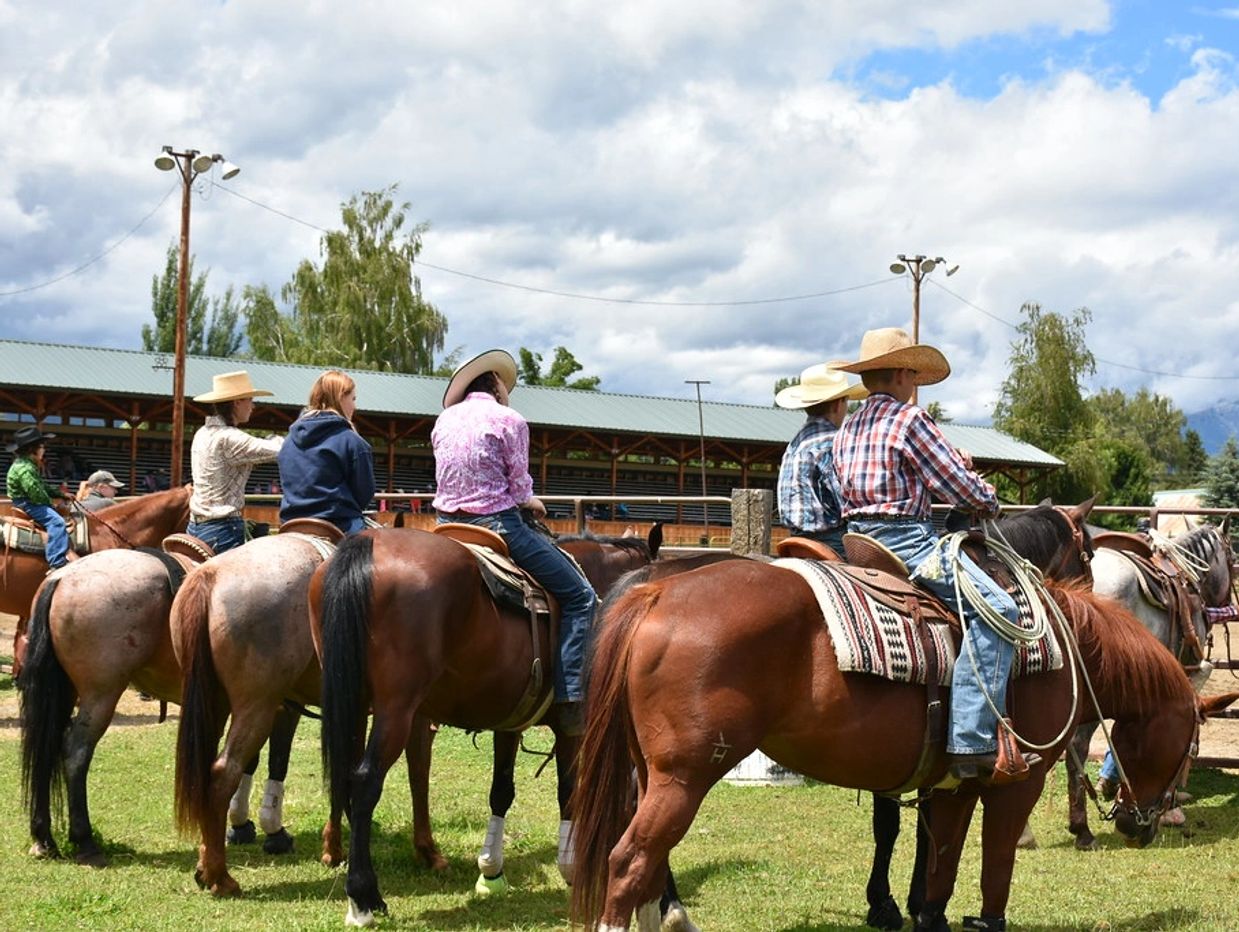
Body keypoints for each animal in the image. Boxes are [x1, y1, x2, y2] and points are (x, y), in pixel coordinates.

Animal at [572, 560, 1239, 931]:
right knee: (628, 863)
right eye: (1187, 745)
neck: (1062, 650)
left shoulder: (952, 790)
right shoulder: (1015, 786)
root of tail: (658, 592)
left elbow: (939, 873)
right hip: (684, 778)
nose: (1140, 825)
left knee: (646, 862)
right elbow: (995, 869)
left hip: (650, 774)